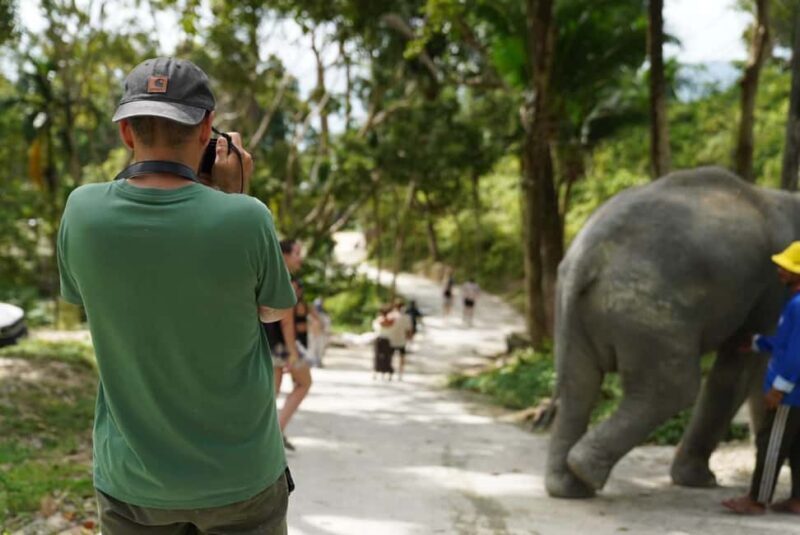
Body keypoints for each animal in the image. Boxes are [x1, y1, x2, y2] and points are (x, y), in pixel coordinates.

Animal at [545, 166, 798, 499]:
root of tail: (587, 257)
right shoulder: (774, 291)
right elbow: (750, 364)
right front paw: (701, 481)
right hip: (648, 309)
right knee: (674, 388)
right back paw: (585, 473)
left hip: (576, 310)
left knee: (578, 385)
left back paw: (569, 487)